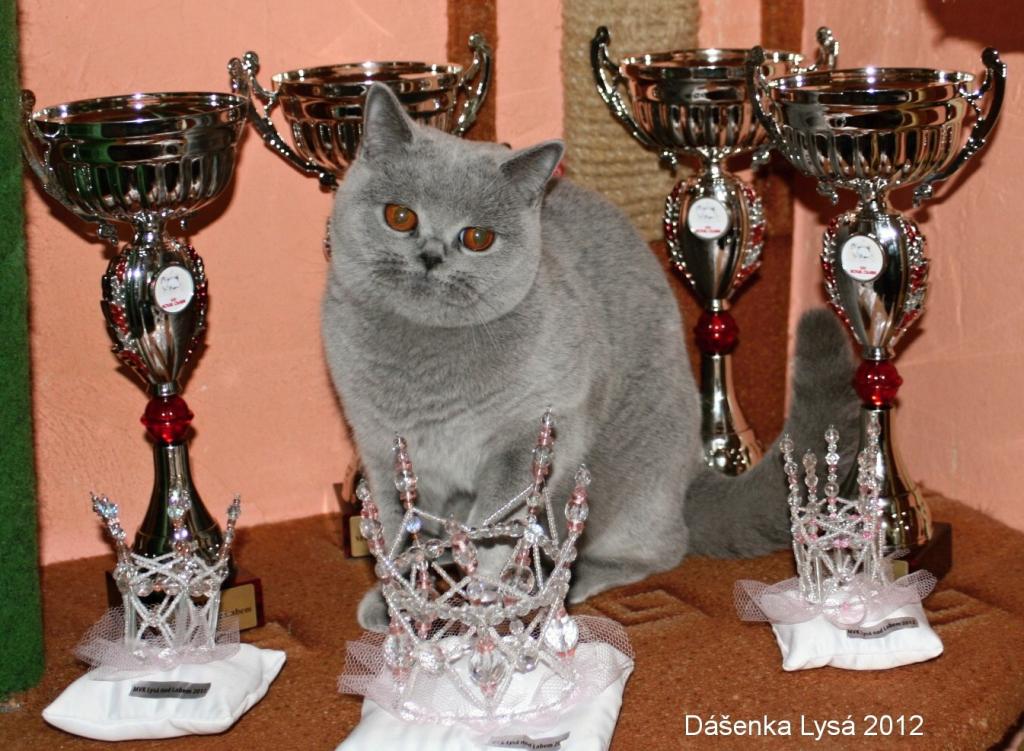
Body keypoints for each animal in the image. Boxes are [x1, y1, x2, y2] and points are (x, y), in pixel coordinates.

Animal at [322, 84, 858, 630]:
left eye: (477, 238)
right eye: (400, 216)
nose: (431, 256)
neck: (427, 357)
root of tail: (692, 473)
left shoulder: (531, 432)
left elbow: (494, 527)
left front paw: (476, 606)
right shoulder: (382, 445)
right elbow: (398, 527)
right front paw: (400, 600)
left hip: (637, 471)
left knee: (662, 548)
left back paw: (574, 579)